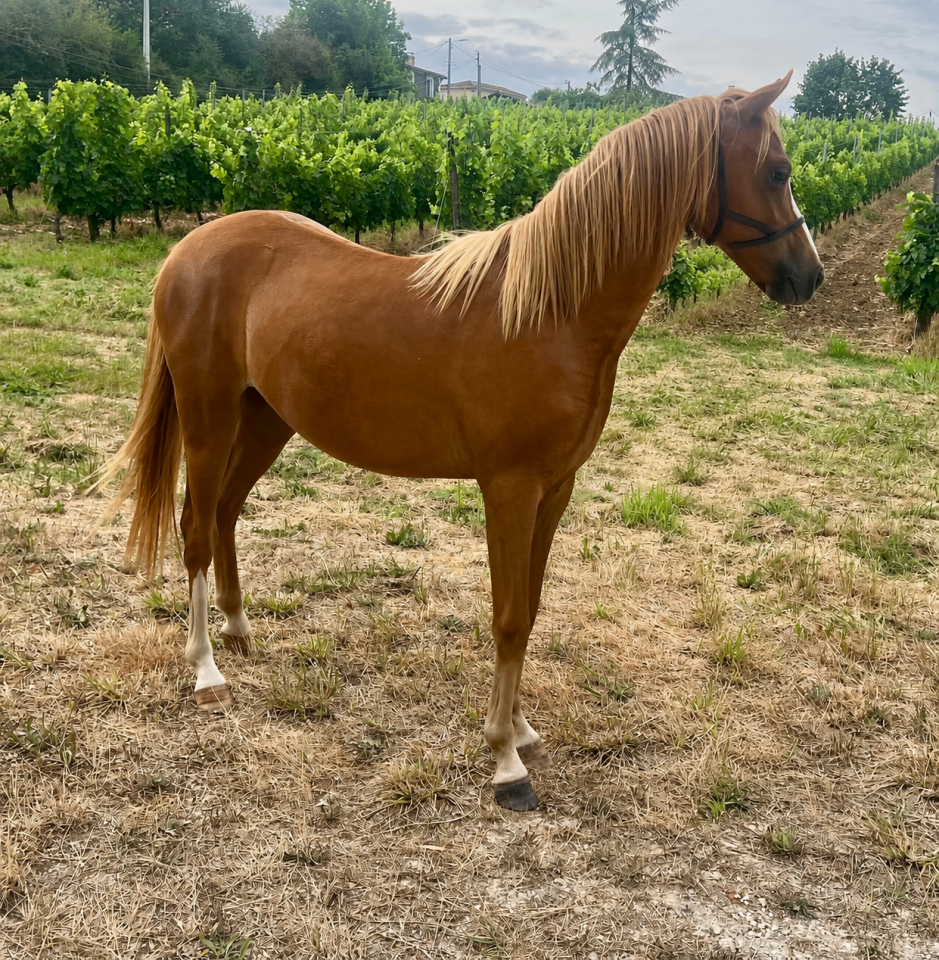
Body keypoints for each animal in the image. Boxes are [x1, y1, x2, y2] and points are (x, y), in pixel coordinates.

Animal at [98, 71, 822, 812]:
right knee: (194, 526)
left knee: (224, 515)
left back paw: (239, 631)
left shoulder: (555, 490)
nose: (809, 276)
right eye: (776, 171)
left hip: (268, 420)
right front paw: (504, 761)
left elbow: (530, 608)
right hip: (209, 417)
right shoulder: (509, 489)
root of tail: (187, 251)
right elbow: (507, 617)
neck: (550, 311)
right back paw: (206, 671)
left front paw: (522, 730)